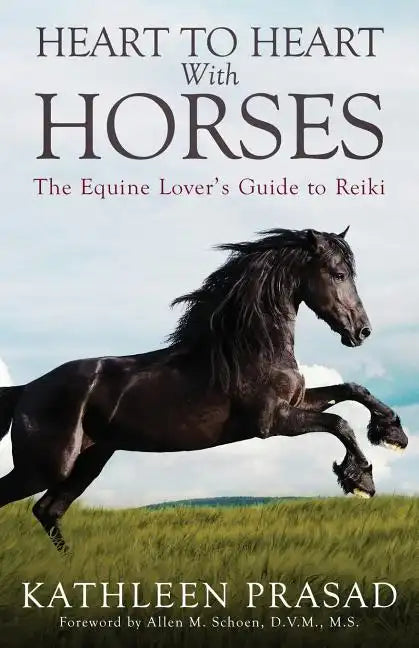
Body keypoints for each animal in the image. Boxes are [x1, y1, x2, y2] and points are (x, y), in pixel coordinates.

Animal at [0, 227, 408, 552]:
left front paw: (392, 434)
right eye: (339, 273)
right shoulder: (273, 422)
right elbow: (339, 421)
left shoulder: (295, 402)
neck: (249, 347)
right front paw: (360, 479)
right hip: (45, 466)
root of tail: (26, 389)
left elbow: (352, 389)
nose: (362, 331)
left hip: (88, 461)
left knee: (48, 509)